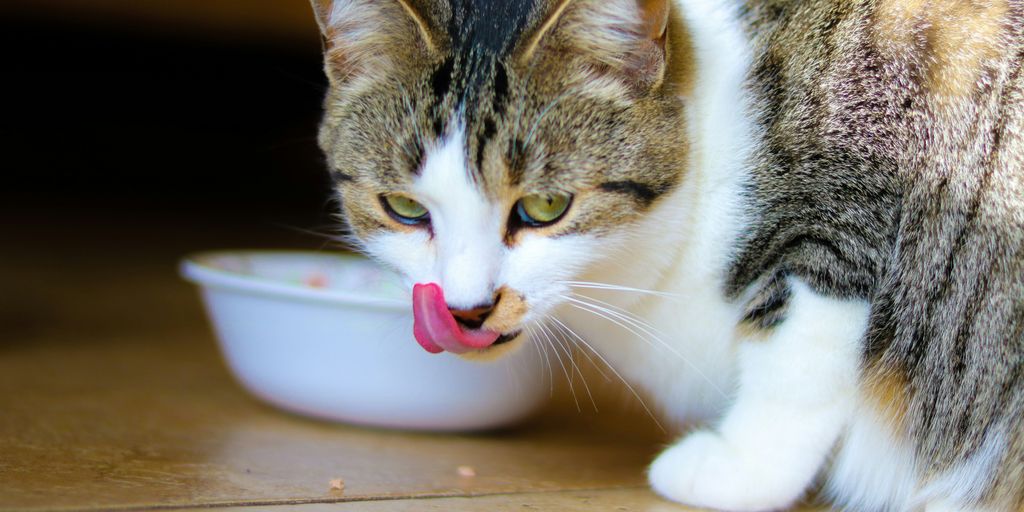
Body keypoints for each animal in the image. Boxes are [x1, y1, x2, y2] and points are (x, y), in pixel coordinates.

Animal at [307, 0, 1019, 509]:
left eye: (545, 206)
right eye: (405, 208)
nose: (467, 309)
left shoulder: (851, 197)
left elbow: (797, 357)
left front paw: (739, 468)